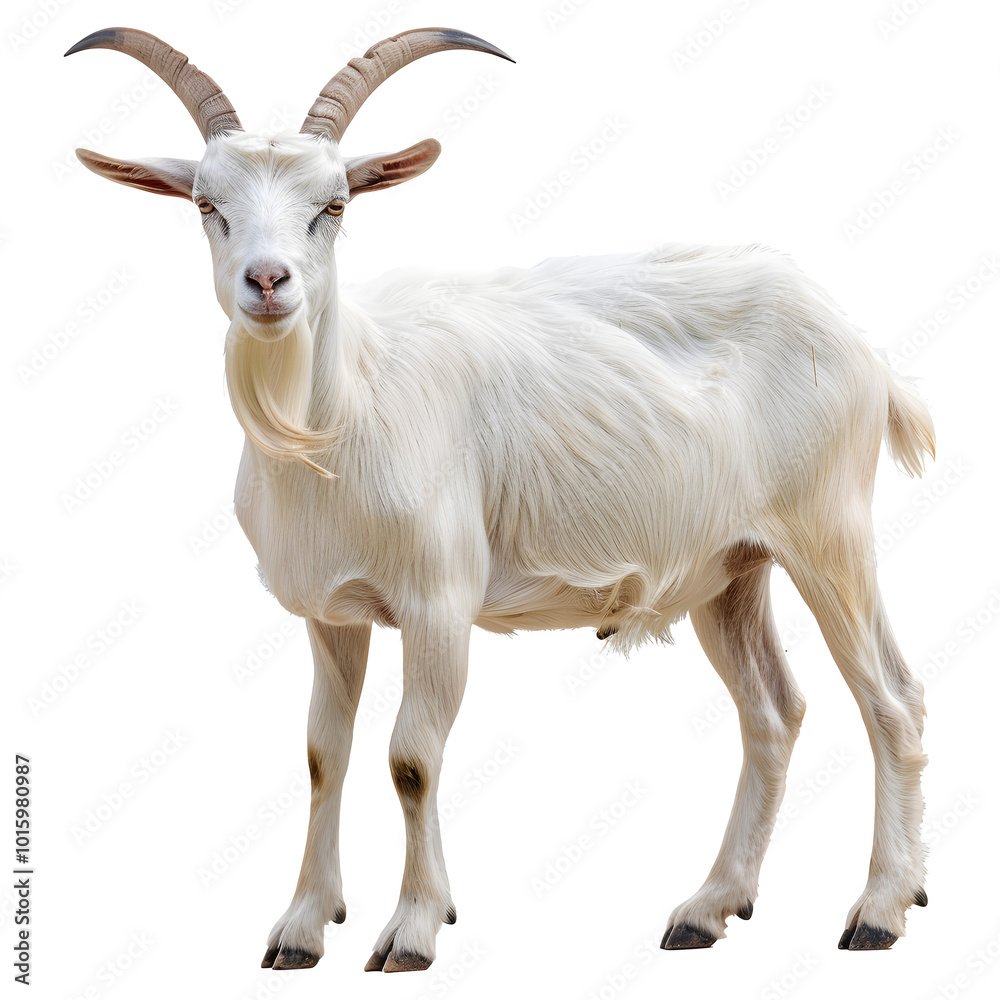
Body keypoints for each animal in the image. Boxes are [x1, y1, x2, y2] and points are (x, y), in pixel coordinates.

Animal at [67, 25, 935, 971]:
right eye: (205, 204)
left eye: (334, 204)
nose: (268, 282)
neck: (341, 415)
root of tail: (860, 341)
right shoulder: (330, 614)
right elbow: (324, 754)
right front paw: (302, 926)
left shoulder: (439, 601)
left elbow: (411, 757)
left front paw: (412, 930)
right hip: (732, 567)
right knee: (773, 712)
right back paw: (708, 908)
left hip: (827, 529)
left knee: (891, 702)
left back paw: (880, 910)